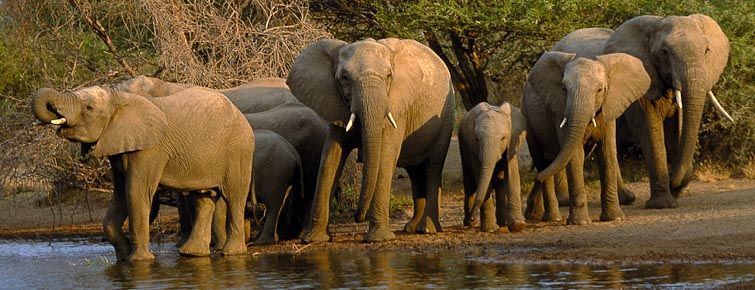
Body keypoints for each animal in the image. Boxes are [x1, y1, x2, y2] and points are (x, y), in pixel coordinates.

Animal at [29, 85, 254, 260]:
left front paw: (139, 260)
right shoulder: (118, 149)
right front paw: (123, 258)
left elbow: (135, 193)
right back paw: (191, 254)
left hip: (238, 151)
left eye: (89, 108)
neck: (119, 98)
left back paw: (232, 254)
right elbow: (120, 196)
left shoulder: (150, 150)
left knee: (234, 197)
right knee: (204, 198)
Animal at [288, 38, 458, 242]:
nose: (357, 217)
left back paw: (427, 229)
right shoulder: (336, 104)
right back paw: (412, 228)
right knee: (415, 171)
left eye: (388, 76)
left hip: (447, 115)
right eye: (344, 77)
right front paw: (314, 239)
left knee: (433, 165)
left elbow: (385, 156)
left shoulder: (396, 105)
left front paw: (379, 239)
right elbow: (330, 158)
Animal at [458, 102, 528, 233]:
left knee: (499, 180)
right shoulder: (473, 149)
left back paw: (501, 223)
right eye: (476, 139)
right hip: (463, 147)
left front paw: (518, 225)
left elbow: (512, 175)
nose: (471, 217)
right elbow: (482, 177)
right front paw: (489, 229)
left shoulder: (512, 143)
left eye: (503, 138)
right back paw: (472, 224)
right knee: (470, 184)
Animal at [524, 27, 652, 224]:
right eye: (564, 90)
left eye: (600, 90)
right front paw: (580, 222)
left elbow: (607, 152)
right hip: (529, 120)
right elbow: (574, 154)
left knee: (554, 160)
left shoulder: (608, 108)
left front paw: (614, 218)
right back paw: (552, 218)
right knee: (543, 160)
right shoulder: (559, 111)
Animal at [604, 14, 732, 208]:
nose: (672, 182)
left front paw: (675, 191)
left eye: (707, 51)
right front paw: (663, 204)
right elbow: (651, 130)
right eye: (664, 52)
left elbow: (675, 132)